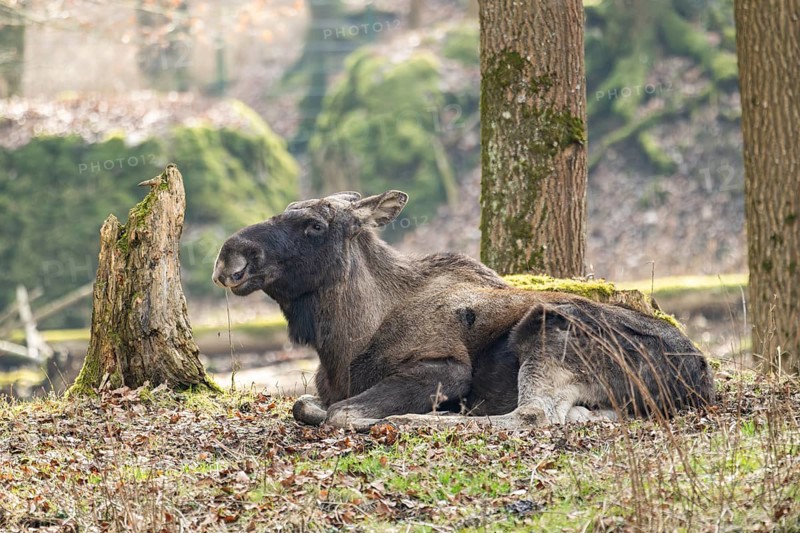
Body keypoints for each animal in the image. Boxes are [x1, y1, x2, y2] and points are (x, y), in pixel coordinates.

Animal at [212, 190, 714, 431]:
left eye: (315, 224)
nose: (229, 256)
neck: (342, 342)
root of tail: (700, 374)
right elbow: (304, 403)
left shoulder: (445, 367)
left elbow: (341, 413)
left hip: (549, 327)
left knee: (532, 416)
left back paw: (414, 421)